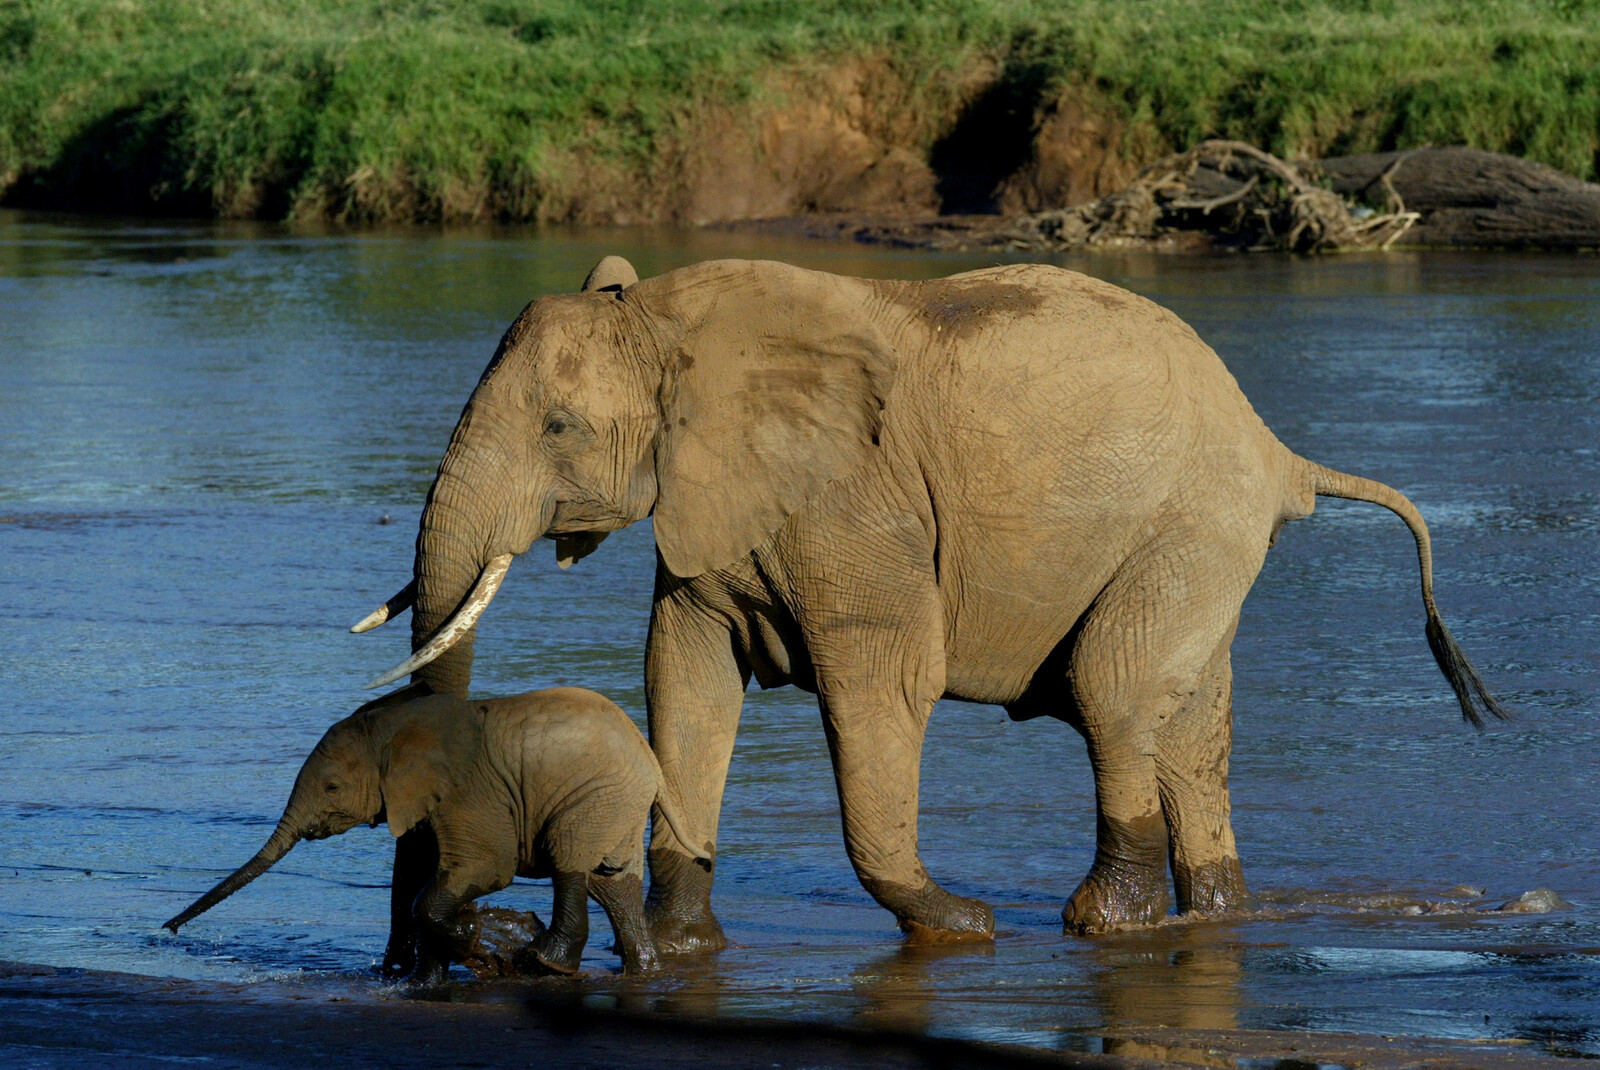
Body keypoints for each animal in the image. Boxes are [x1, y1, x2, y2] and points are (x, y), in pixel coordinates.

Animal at [164, 686, 707, 980]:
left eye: (332, 786)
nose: (168, 930)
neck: (392, 727)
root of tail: (651, 761)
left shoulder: (471, 793)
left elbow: (483, 869)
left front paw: (472, 944)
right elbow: (424, 880)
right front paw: (428, 980)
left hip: (596, 794)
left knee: (569, 860)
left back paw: (544, 963)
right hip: (615, 802)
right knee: (612, 883)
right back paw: (644, 972)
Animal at [351, 255, 1506, 955]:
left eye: (557, 427)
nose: (428, 952)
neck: (673, 316)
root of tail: (1278, 452)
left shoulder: (857, 505)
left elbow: (880, 683)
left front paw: (959, 926)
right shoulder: (712, 507)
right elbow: (685, 680)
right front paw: (684, 946)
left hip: (1192, 527)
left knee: (1113, 691)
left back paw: (1101, 925)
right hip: (1196, 544)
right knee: (1189, 726)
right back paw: (1213, 913)